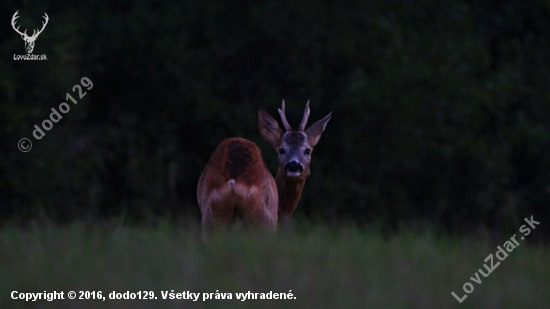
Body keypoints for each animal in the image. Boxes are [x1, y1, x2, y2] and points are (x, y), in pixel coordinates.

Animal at [198, 99, 332, 231]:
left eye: (307, 150)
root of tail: (232, 183)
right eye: (281, 150)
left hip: (212, 217)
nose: (293, 165)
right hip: (264, 218)